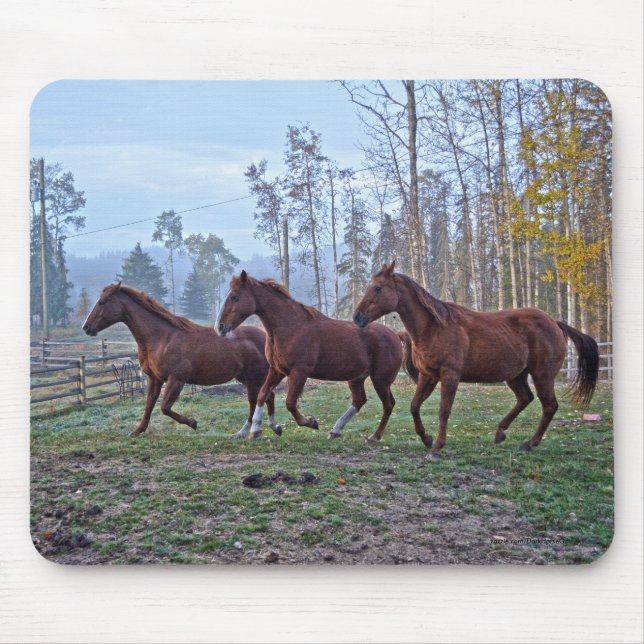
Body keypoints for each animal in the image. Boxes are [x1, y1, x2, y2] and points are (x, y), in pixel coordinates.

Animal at [82, 283, 281, 437]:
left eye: (103, 302)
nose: (86, 327)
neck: (161, 338)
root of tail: (266, 337)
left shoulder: (176, 380)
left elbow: (165, 408)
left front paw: (193, 423)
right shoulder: (154, 379)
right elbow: (149, 405)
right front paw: (137, 431)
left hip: (255, 376)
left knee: (259, 398)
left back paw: (257, 430)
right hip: (245, 377)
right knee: (264, 397)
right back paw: (262, 429)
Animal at [216, 270, 403, 442]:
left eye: (234, 297)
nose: (220, 327)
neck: (291, 327)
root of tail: (395, 335)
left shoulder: (299, 372)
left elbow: (290, 403)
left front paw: (310, 422)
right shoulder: (277, 370)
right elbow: (263, 394)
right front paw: (258, 430)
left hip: (380, 380)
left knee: (388, 405)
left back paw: (374, 437)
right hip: (357, 378)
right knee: (359, 401)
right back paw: (335, 431)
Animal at [353, 261, 599, 458]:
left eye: (378, 288)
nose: (357, 317)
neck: (435, 327)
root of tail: (555, 323)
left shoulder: (450, 376)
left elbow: (444, 411)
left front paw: (437, 448)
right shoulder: (427, 376)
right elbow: (414, 406)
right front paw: (426, 439)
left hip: (542, 376)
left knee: (549, 406)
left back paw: (529, 443)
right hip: (516, 376)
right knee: (525, 398)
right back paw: (500, 433)